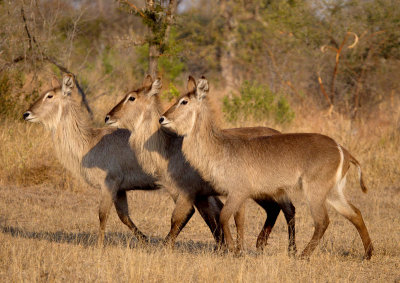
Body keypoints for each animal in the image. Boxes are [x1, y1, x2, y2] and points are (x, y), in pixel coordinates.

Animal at [22, 74, 225, 247]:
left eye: (49, 96)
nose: (26, 113)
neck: (88, 143)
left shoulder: (109, 183)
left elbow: (102, 214)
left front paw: (99, 247)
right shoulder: (121, 189)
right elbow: (123, 216)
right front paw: (145, 241)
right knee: (214, 209)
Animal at [106, 76, 296, 255]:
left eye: (131, 97)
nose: (107, 117)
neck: (168, 148)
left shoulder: (188, 192)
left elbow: (179, 218)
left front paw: (164, 247)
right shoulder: (200, 195)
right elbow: (212, 219)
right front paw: (221, 248)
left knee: (288, 209)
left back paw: (291, 250)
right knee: (274, 208)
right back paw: (260, 243)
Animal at [161, 76, 374, 260]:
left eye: (184, 101)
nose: (162, 118)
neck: (220, 149)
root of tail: (343, 149)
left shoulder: (238, 191)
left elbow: (223, 217)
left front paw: (233, 250)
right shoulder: (239, 195)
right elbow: (238, 220)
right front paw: (239, 250)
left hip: (315, 190)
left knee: (322, 221)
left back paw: (302, 255)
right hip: (332, 191)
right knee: (355, 213)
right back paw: (368, 254)